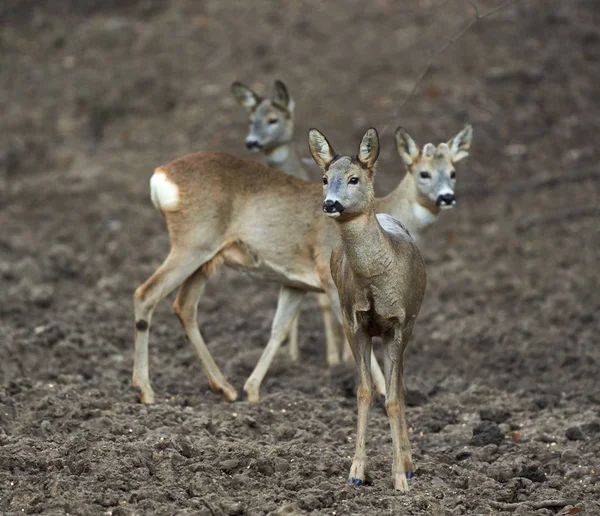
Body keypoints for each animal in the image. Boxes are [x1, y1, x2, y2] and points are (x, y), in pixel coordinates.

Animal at [230, 79, 338, 362]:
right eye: (250, 119)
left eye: (273, 119)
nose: (251, 142)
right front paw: (292, 356)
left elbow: (323, 301)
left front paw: (333, 360)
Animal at [310, 128, 426, 492]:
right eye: (324, 178)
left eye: (354, 178)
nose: (330, 203)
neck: (376, 280)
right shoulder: (354, 321)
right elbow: (364, 391)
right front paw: (356, 472)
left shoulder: (399, 323)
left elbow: (392, 396)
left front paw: (400, 478)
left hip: (411, 324)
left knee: (399, 386)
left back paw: (409, 464)